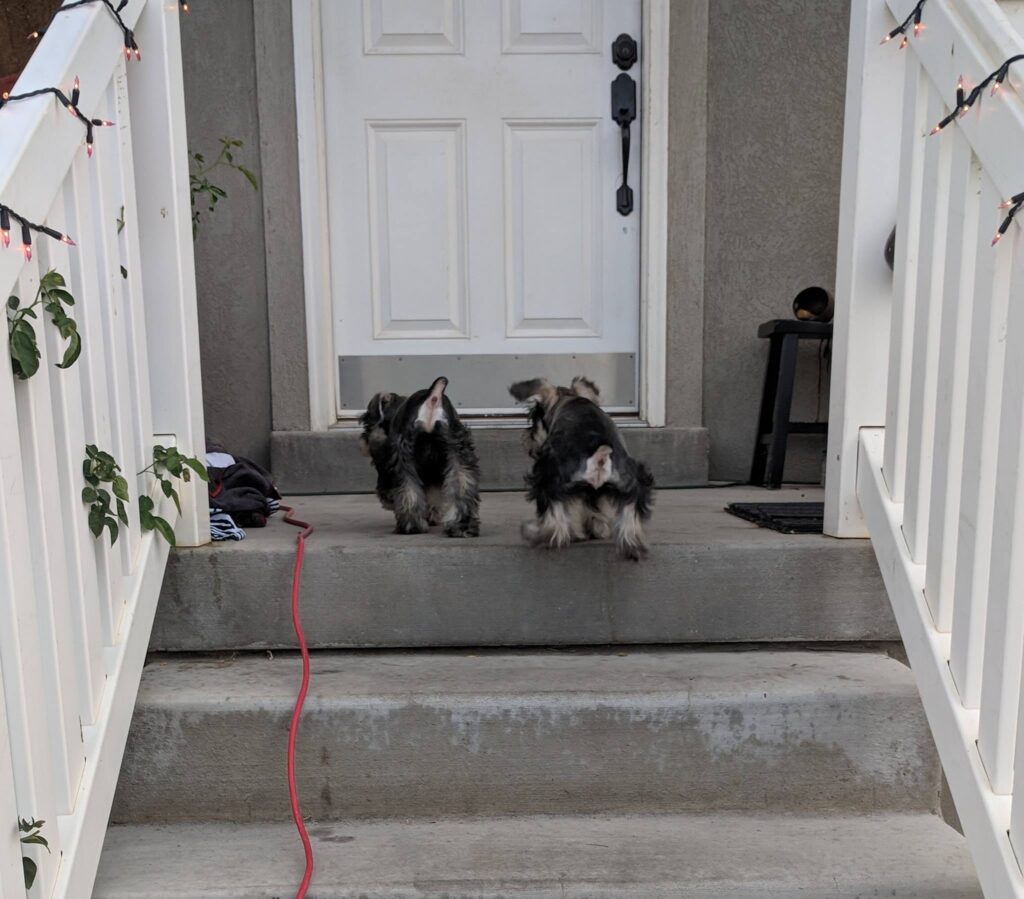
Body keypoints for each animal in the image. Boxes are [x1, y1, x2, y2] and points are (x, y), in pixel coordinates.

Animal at [360, 376, 479, 536]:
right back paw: (462, 526)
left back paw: (410, 526)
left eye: (367, 423)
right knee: (461, 485)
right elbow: (432, 494)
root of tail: (432, 396)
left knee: (408, 490)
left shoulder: (387, 467)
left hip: (403, 458)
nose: (365, 441)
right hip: (459, 453)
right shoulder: (433, 472)